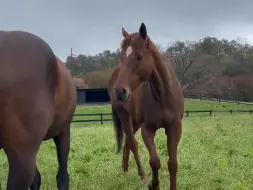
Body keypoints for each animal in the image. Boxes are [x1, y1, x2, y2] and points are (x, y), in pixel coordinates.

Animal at [106, 22, 184, 190]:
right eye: (121, 57)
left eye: (138, 57)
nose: (119, 91)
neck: (162, 96)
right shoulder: (147, 129)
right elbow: (154, 161)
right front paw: (153, 184)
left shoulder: (174, 127)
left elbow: (173, 163)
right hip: (125, 117)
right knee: (132, 143)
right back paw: (142, 176)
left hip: (134, 121)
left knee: (128, 143)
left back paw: (125, 170)